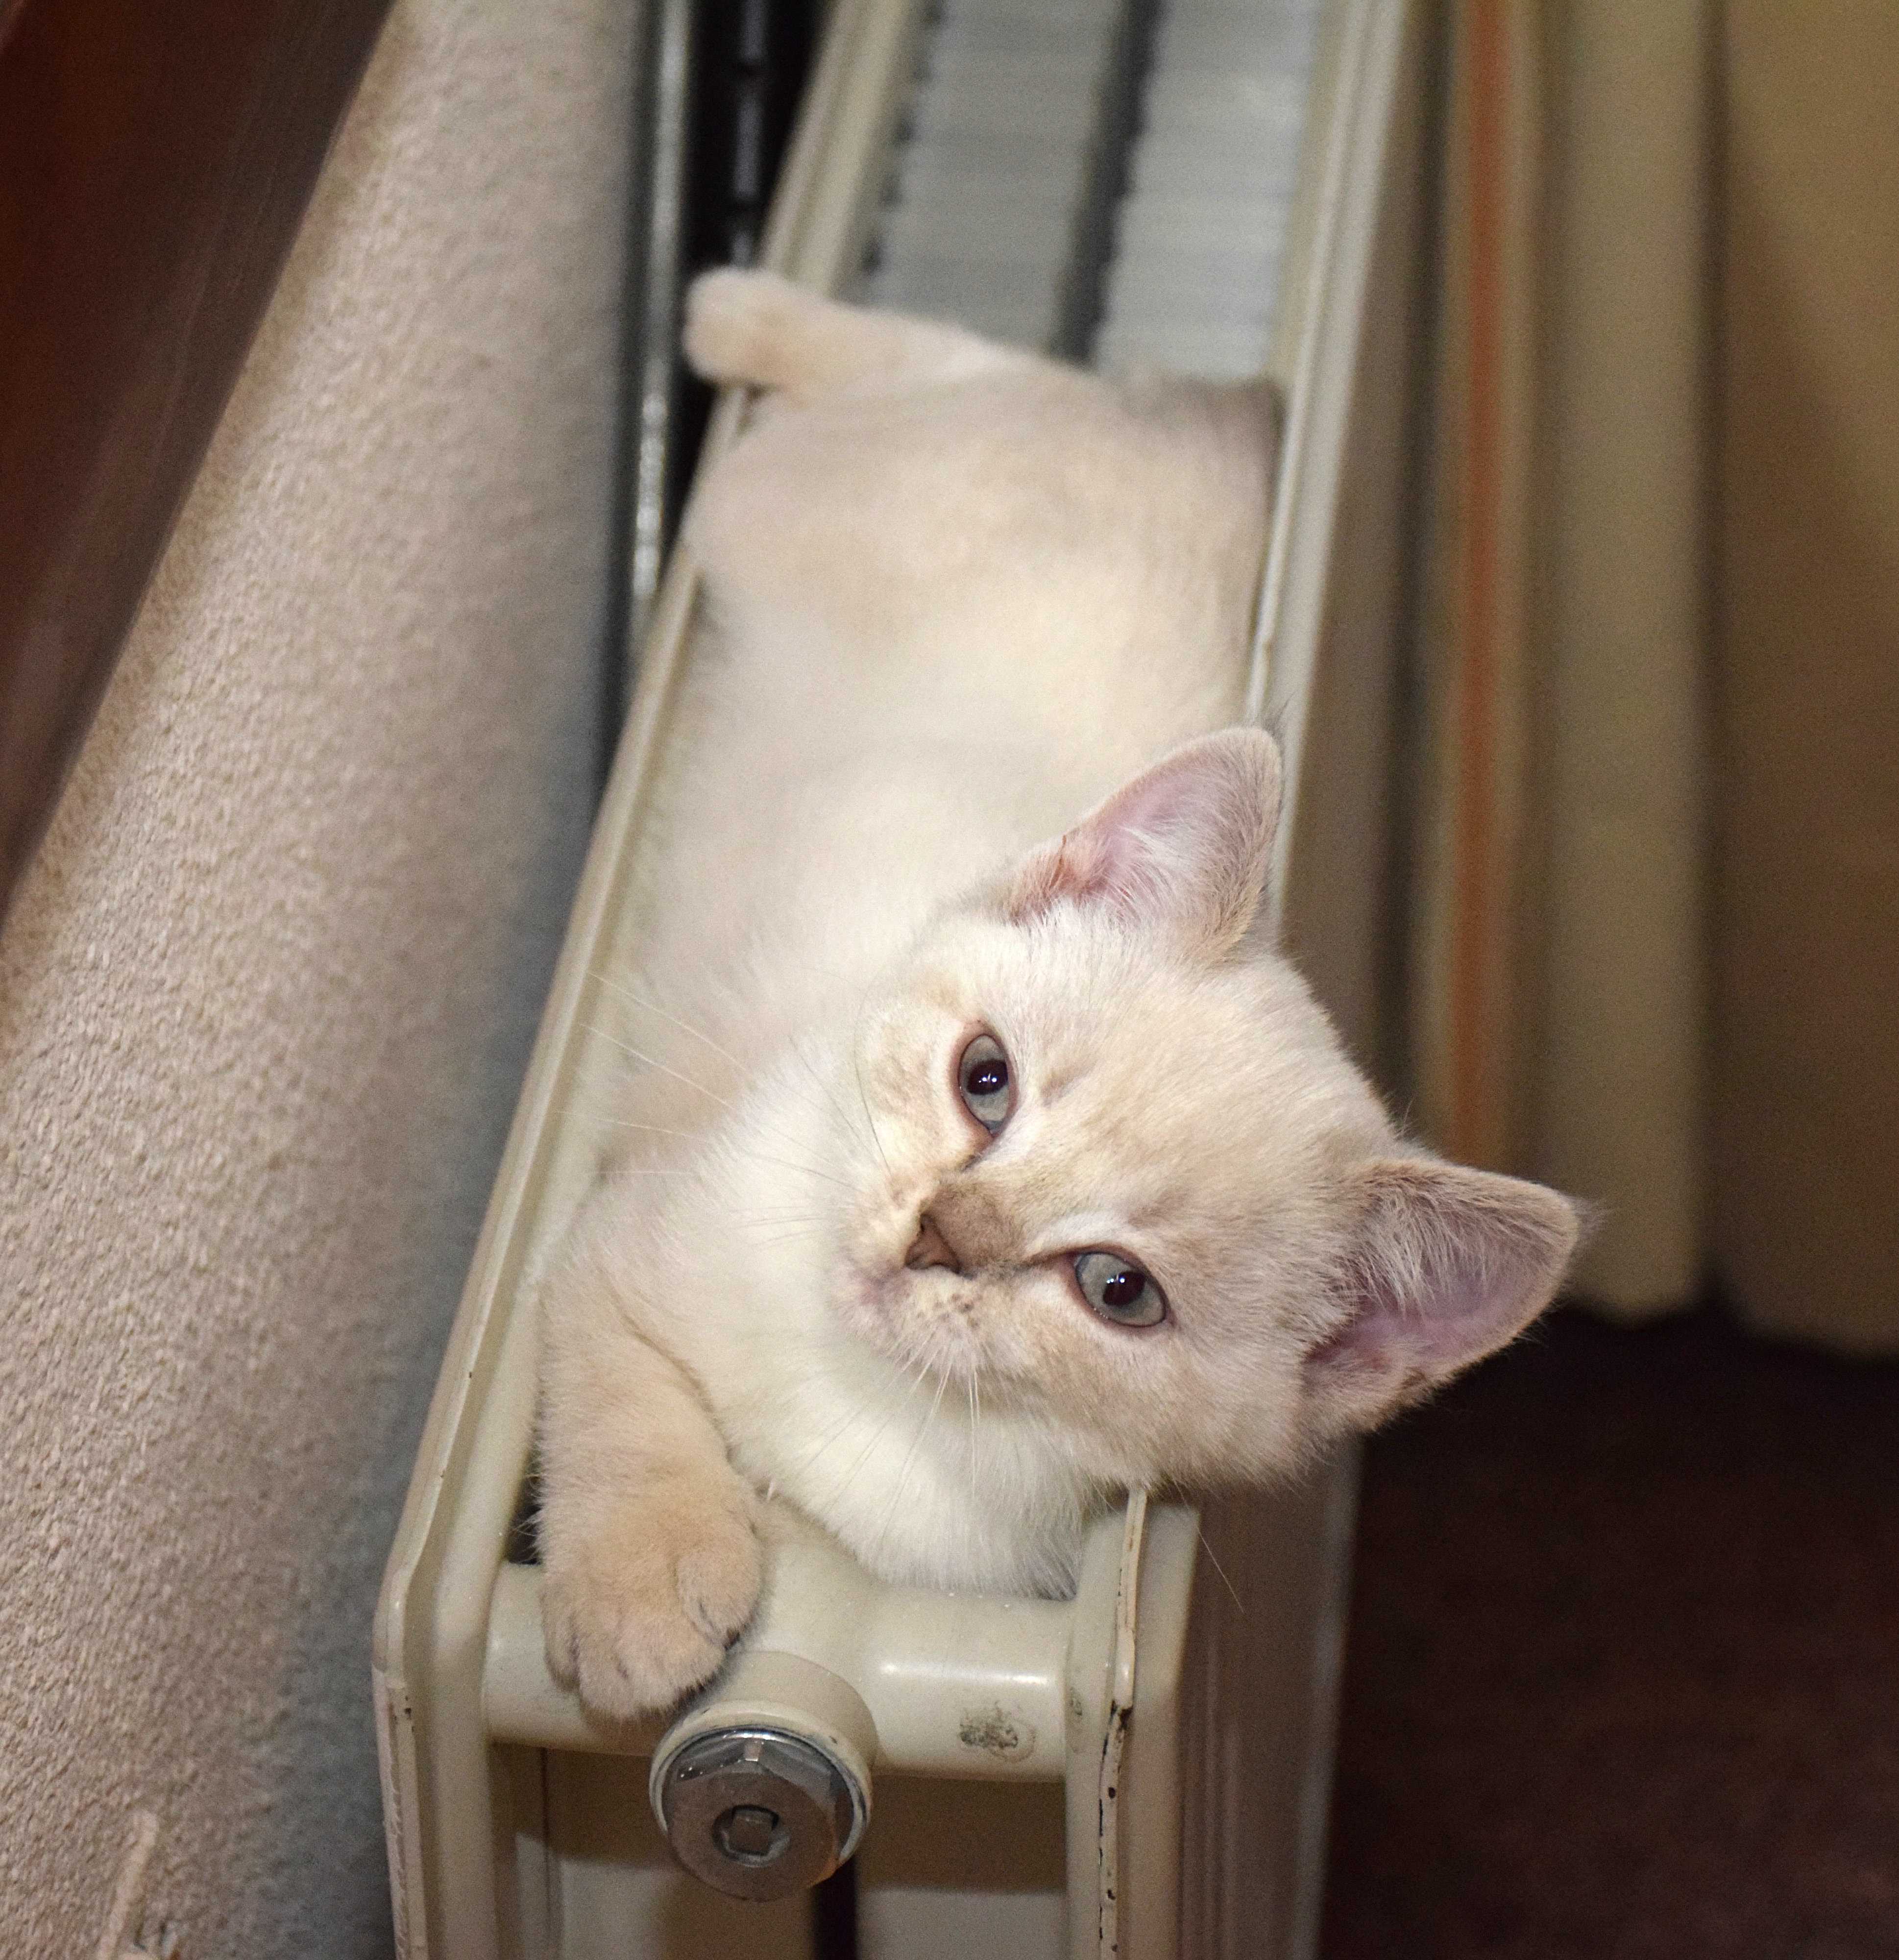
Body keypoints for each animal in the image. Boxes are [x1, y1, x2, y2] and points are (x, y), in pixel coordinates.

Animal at [536, 268, 1580, 1721]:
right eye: (985, 1082)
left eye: (1114, 1290)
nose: (939, 1236)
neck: (857, 1389)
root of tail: (1185, 461)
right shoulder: (619, 1233)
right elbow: (617, 1389)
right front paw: (637, 1590)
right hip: (761, 513)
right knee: (916, 374)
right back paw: (739, 314)